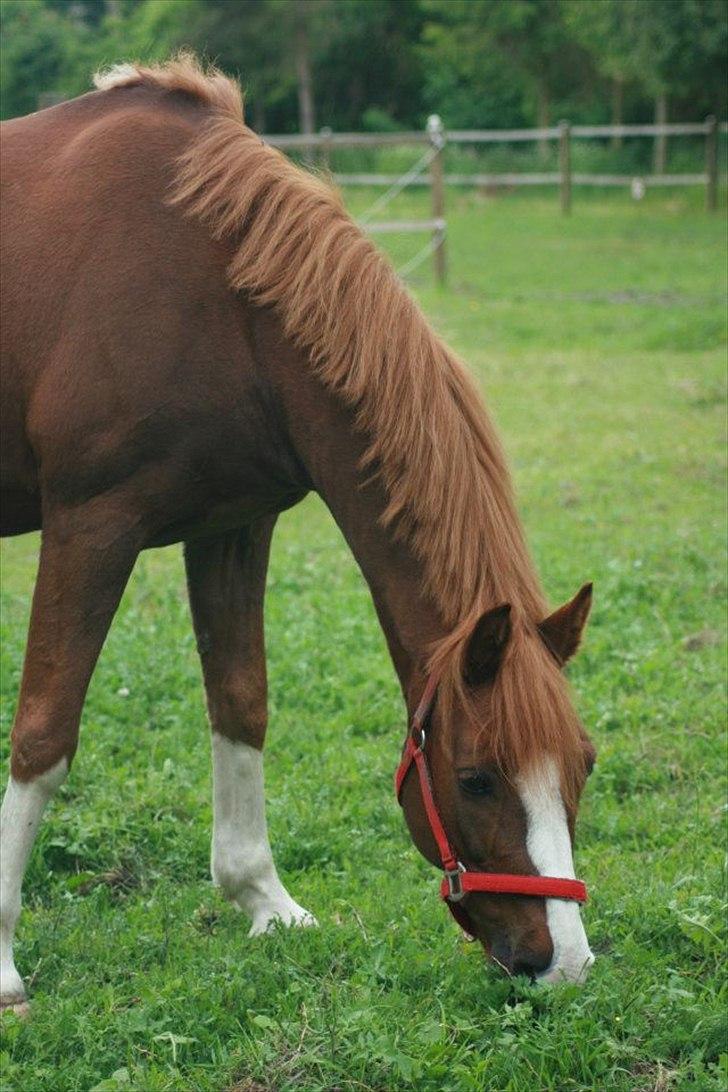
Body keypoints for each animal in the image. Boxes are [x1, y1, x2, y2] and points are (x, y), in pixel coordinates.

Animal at [0, 56, 596, 1015]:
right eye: (475, 778)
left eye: (583, 766)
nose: (564, 963)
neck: (213, 287)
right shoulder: (91, 523)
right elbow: (45, 733)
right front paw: (3, 961)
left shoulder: (235, 524)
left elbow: (242, 702)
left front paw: (263, 901)